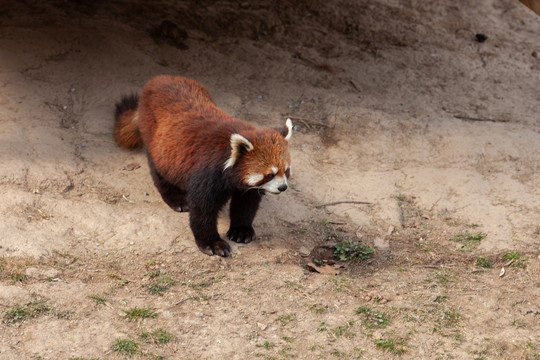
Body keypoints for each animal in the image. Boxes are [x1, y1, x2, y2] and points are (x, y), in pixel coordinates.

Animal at [113, 75, 292, 256]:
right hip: (157, 141)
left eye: (286, 171)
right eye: (269, 174)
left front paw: (241, 230)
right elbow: (202, 209)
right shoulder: (207, 173)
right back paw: (175, 198)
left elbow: (245, 204)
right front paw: (212, 243)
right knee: (160, 172)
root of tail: (159, 79)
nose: (283, 187)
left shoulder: (245, 187)